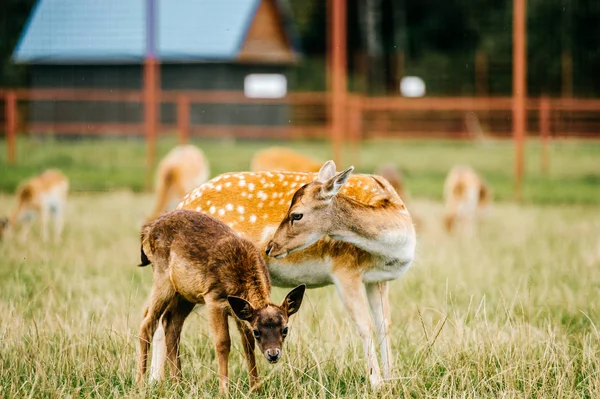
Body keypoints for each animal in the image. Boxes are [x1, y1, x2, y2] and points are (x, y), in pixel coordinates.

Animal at [137, 211, 304, 392]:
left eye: (285, 329)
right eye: (257, 331)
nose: (273, 354)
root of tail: (147, 231)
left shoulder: (240, 312)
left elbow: (247, 344)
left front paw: (255, 388)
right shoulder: (213, 298)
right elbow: (223, 342)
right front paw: (224, 390)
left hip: (185, 294)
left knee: (170, 323)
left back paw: (178, 384)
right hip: (163, 278)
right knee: (147, 322)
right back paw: (140, 384)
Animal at [171, 160, 414, 390]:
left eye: (297, 214)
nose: (270, 247)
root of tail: (182, 202)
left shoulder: (377, 279)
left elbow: (384, 325)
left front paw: (392, 381)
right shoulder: (344, 268)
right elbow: (364, 325)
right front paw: (377, 384)